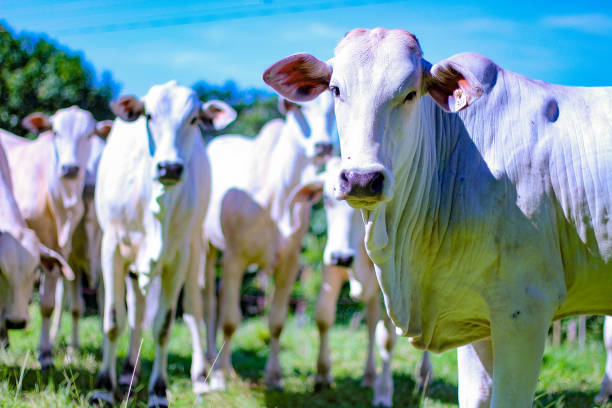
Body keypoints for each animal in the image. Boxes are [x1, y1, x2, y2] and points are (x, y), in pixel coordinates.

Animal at [0, 106, 110, 366]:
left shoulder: (63, 253)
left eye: (89, 135)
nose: (70, 169)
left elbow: (52, 304)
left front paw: (47, 353)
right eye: (56, 132)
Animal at [92, 81, 235, 406]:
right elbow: (114, 321)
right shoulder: (111, 248)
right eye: (148, 116)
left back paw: (199, 377)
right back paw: (127, 372)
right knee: (136, 312)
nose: (169, 167)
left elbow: (163, 326)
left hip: (195, 248)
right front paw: (103, 387)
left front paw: (159, 390)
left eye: (193, 119)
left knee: (194, 309)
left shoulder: (179, 256)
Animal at [200, 91, 334, 388]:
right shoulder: (234, 257)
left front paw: (273, 375)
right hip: (207, 247)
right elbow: (230, 320)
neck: (279, 195)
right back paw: (213, 359)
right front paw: (222, 375)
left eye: (333, 109)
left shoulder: (290, 261)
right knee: (210, 300)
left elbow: (277, 322)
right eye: (298, 108)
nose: (324, 145)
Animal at [318, 155, 400, 406]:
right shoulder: (330, 266)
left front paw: (383, 393)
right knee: (371, 321)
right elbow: (323, 317)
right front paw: (322, 376)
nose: (342, 257)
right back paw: (368, 375)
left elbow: (388, 339)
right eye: (326, 200)